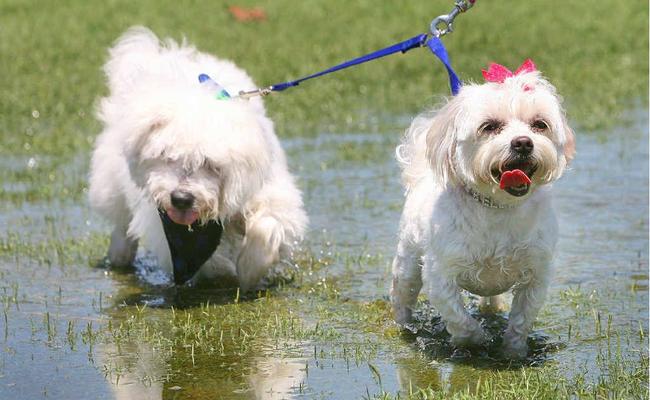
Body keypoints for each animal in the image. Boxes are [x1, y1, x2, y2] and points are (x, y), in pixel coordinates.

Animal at [88, 27, 306, 290]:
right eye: (165, 156)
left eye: (210, 164)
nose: (181, 199)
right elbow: (209, 260)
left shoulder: (269, 192)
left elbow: (268, 225)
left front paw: (250, 270)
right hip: (111, 178)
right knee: (121, 219)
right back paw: (120, 254)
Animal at [388, 61, 576, 358]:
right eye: (489, 126)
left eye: (539, 124)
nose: (523, 142)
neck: (498, 206)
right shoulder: (440, 274)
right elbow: (460, 319)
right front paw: (475, 343)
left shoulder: (537, 274)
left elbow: (522, 318)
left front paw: (513, 351)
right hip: (408, 262)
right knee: (402, 294)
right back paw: (404, 326)